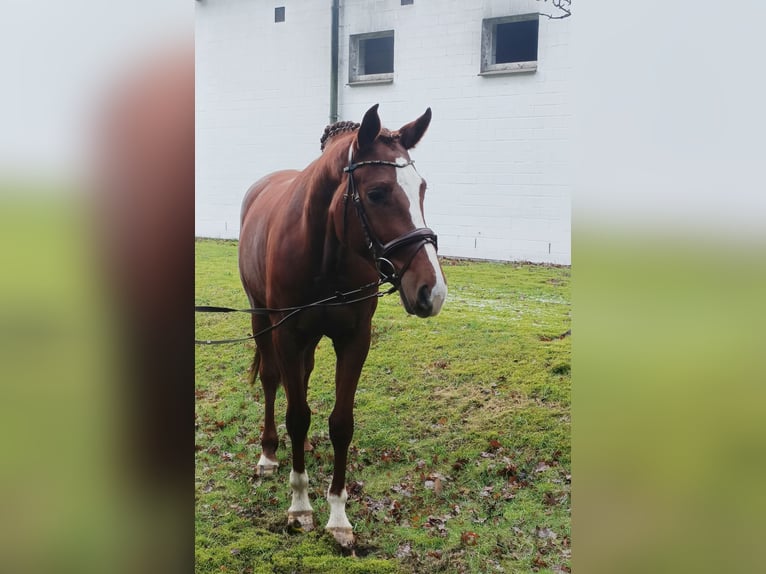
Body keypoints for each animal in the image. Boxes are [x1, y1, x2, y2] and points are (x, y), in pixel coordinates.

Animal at [237, 104, 448, 548]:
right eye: (377, 193)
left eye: (421, 188)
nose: (432, 291)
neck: (325, 249)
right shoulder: (286, 333)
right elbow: (297, 414)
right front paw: (300, 507)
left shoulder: (354, 339)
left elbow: (340, 423)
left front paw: (337, 514)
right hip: (261, 316)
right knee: (272, 382)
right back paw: (269, 453)